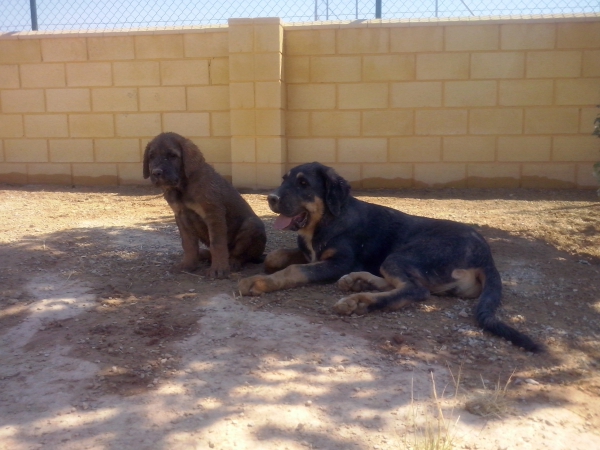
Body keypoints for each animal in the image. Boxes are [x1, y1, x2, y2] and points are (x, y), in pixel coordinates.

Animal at [143, 131, 264, 278]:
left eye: (172, 156)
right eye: (151, 157)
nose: (156, 172)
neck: (183, 186)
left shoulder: (213, 214)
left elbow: (217, 243)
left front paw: (218, 269)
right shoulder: (181, 216)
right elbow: (188, 244)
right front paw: (188, 265)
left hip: (252, 225)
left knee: (241, 255)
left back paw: (233, 262)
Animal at [239, 162, 544, 352]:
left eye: (303, 183)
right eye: (284, 180)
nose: (270, 198)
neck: (327, 220)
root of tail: (485, 255)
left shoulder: (338, 262)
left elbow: (294, 270)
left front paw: (257, 282)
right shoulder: (310, 253)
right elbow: (275, 256)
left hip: (404, 255)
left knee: (415, 289)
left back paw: (359, 300)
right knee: (403, 283)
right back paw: (358, 283)